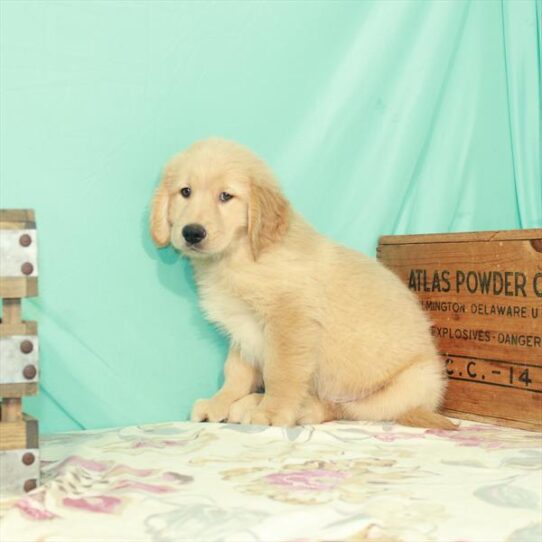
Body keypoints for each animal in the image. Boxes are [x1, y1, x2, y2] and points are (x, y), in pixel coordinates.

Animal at [151, 138, 456, 432]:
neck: (239, 256)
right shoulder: (242, 328)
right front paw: (219, 402)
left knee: (341, 408)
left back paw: (292, 408)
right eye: (185, 192)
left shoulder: (290, 320)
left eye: (226, 196)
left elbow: (281, 372)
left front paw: (272, 412)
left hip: (409, 385)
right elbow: (236, 372)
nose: (192, 232)